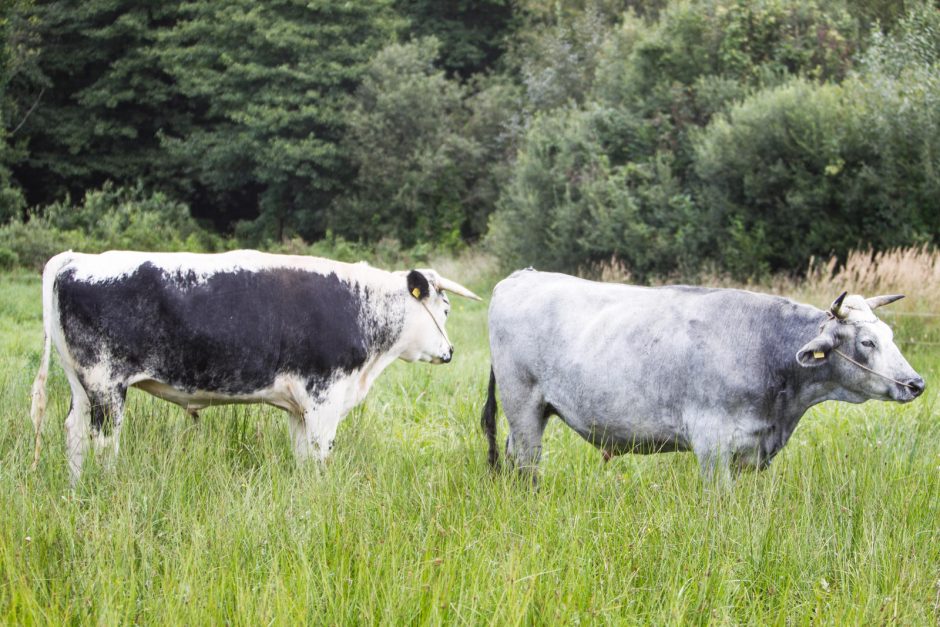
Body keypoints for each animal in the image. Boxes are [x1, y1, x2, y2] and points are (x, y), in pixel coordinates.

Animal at [32, 250, 482, 480]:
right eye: (444, 308)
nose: (450, 351)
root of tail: (75, 258)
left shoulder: (300, 407)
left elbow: (303, 458)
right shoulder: (324, 397)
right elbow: (321, 455)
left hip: (82, 387)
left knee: (74, 435)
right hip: (107, 386)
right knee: (104, 442)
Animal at [484, 270, 924, 486]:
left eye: (890, 335)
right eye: (867, 341)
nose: (916, 383)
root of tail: (523, 275)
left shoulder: (752, 451)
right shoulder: (712, 443)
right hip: (522, 405)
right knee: (527, 463)